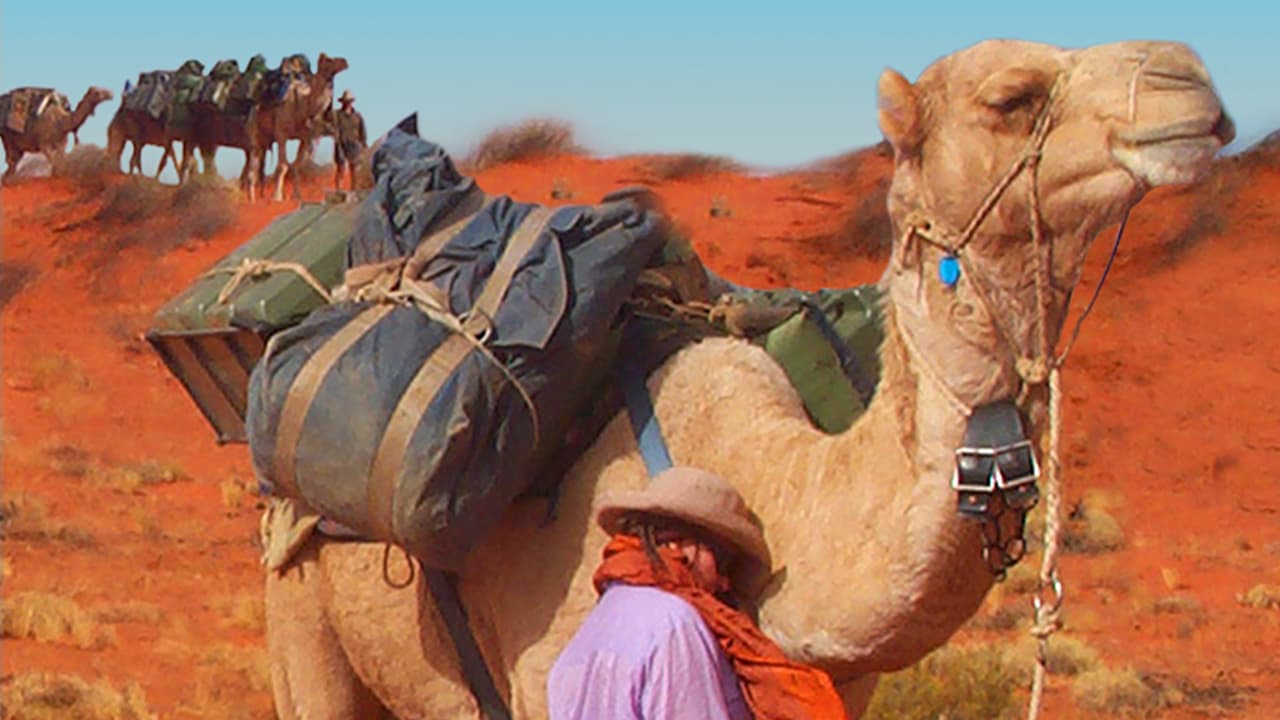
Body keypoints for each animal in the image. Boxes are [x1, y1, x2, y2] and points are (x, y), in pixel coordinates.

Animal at [254, 53, 348, 201]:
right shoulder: (281, 134)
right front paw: (277, 196)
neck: (302, 107)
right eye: (328, 60)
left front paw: (297, 195)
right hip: (256, 134)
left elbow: (296, 165)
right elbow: (282, 166)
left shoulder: (305, 138)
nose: (345, 62)